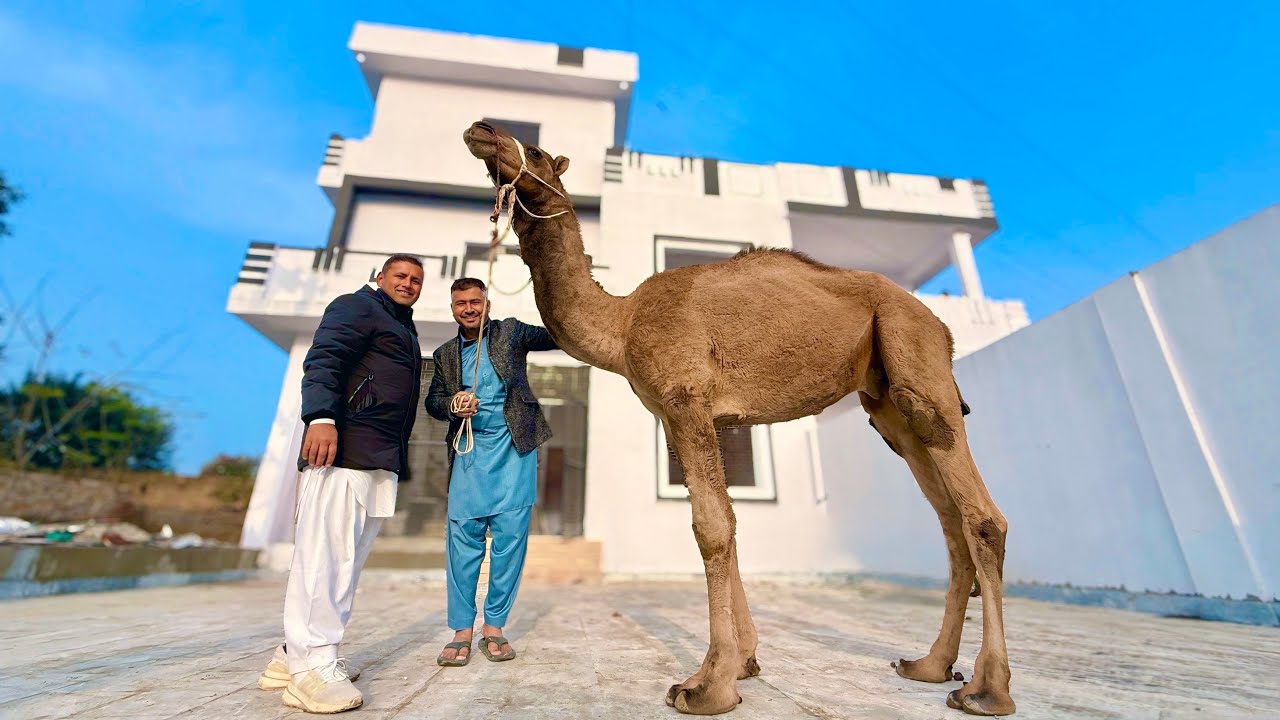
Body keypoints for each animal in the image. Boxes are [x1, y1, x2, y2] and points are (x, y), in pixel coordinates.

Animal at [462, 120, 1016, 717]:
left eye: (537, 151)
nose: (483, 130)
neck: (623, 321)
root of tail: (941, 326)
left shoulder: (685, 399)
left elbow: (710, 527)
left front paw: (706, 684)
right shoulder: (685, 415)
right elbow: (727, 521)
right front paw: (745, 661)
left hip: (917, 361)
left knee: (982, 515)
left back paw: (986, 688)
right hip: (887, 407)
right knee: (949, 520)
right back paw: (930, 665)